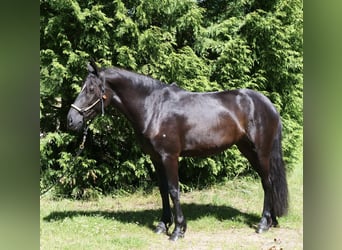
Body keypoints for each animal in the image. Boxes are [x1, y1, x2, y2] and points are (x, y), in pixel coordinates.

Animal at [66, 61, 286, 241]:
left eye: (91, 88)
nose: (71, 120)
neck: (154, 107)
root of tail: (268, 104)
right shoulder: (156, 158)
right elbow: (163, 190)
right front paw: (163, 225)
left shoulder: (169, 157)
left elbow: (174, 190)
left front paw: (178, 230)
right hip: (247, 150)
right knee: (268, 182)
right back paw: (272, 221)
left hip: (260, 152)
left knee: (267, 182)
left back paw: (263, 224)